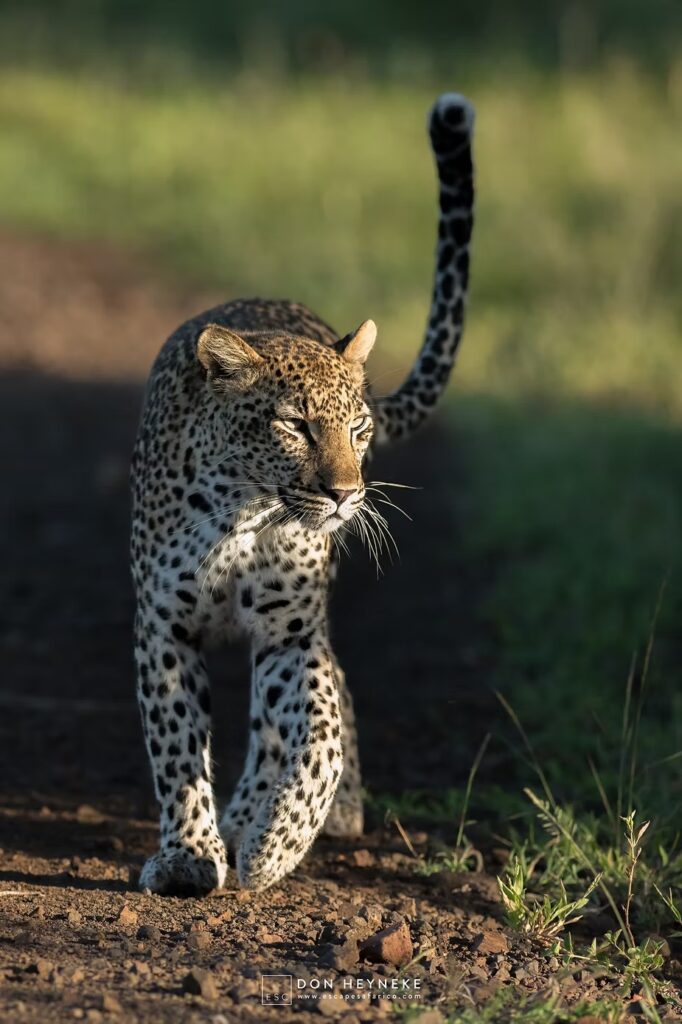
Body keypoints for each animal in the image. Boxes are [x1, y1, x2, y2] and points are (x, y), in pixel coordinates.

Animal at [130, 92, 475, 895]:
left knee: (300, 713)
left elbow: (317, 730)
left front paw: (277, 843)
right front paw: (188, 855)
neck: (243, 513)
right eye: (294, 425)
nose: (348, 495)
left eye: (357, 427)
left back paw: (281, 820)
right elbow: (175, 746)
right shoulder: (165, 627)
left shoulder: (291, 631)